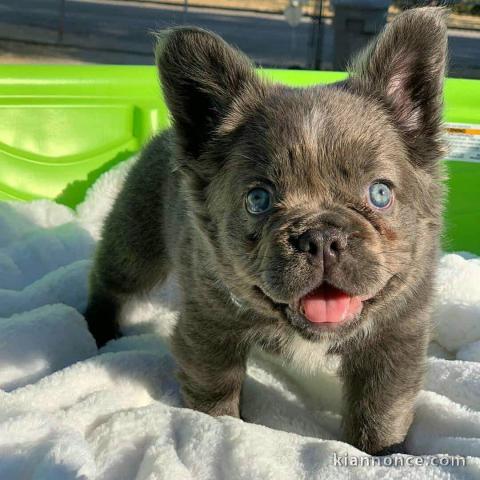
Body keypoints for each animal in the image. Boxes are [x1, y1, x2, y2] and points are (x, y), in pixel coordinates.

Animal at [84, 9, 448, 456]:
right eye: (258, 199)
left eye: (379, 193)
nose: (320, 237)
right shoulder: (209, 330)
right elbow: (215, 393)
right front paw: (218, 429)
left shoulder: (394, 342)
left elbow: (382, 412)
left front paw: (382, 455)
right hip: (137, 243)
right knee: (110, 281)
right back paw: (98, 330)